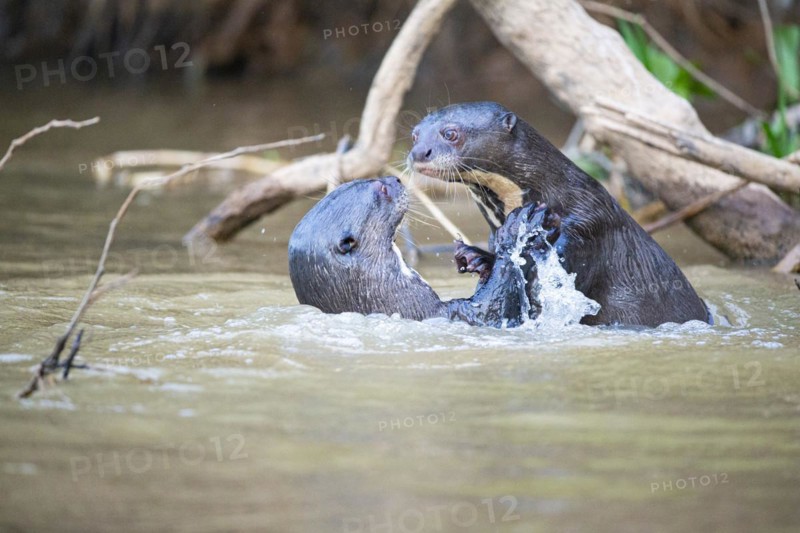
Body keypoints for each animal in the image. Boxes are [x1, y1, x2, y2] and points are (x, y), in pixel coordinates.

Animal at [288, 176, 561, 327]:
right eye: (382, 190)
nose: (396, 179)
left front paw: (475, 258)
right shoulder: (453, 315)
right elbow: (492, 306)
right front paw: (516, 227)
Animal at [409, 102, 709, 327]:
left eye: (450, 133)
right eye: (414, 134)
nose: (418, 153)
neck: (554, 197)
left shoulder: (584, 229)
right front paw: (477, 258)